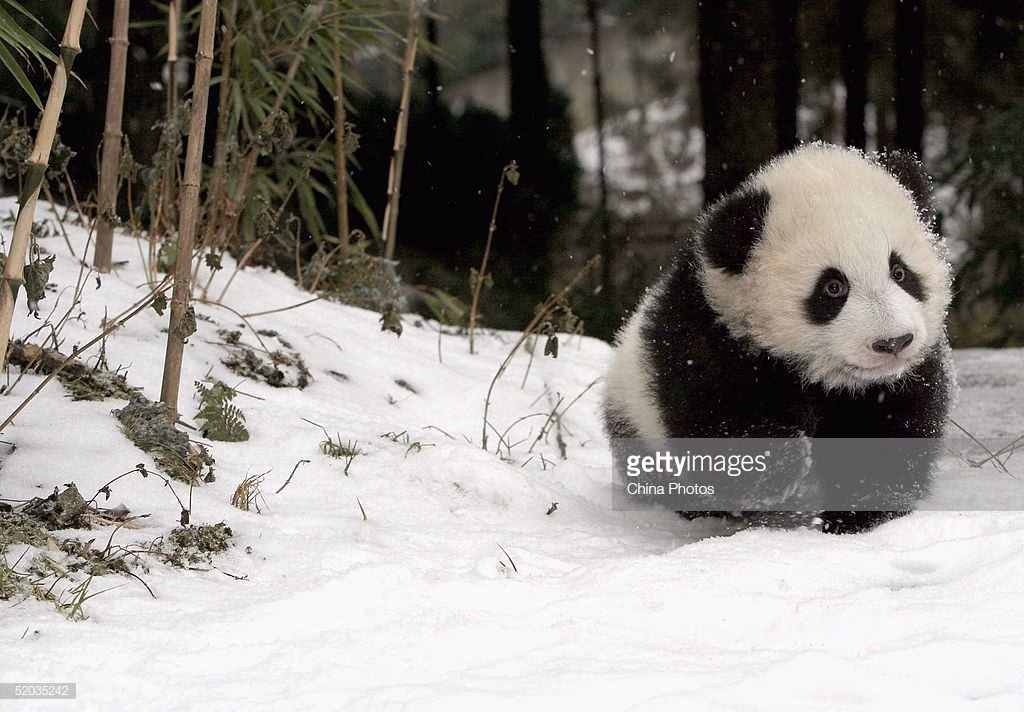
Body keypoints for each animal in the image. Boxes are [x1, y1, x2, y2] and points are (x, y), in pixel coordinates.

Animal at [603, 142, 954, 534]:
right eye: (833, 288)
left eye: (899, 271)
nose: (893, 343)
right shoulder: (706, 339)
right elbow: (715, 422)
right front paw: (782, 464)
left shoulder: (903, 378)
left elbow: (889, 434)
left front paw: (857, 516)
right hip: (632, 417)